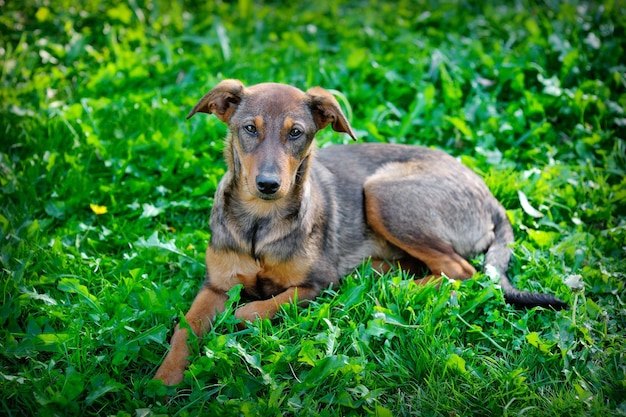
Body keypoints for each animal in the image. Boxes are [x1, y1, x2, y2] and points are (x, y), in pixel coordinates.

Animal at [152, 79, 564, 386]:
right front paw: (162, 379)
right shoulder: (216, 285)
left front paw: (239, 316)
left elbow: (264, 306)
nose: (268, 184)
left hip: (382, 193)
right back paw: (380, 273)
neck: (260, 223)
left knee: (461, 270)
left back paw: (391, 286)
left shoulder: (316, 283)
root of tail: (490, 195)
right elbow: (184, 329)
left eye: (296, 133)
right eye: (249, 129)